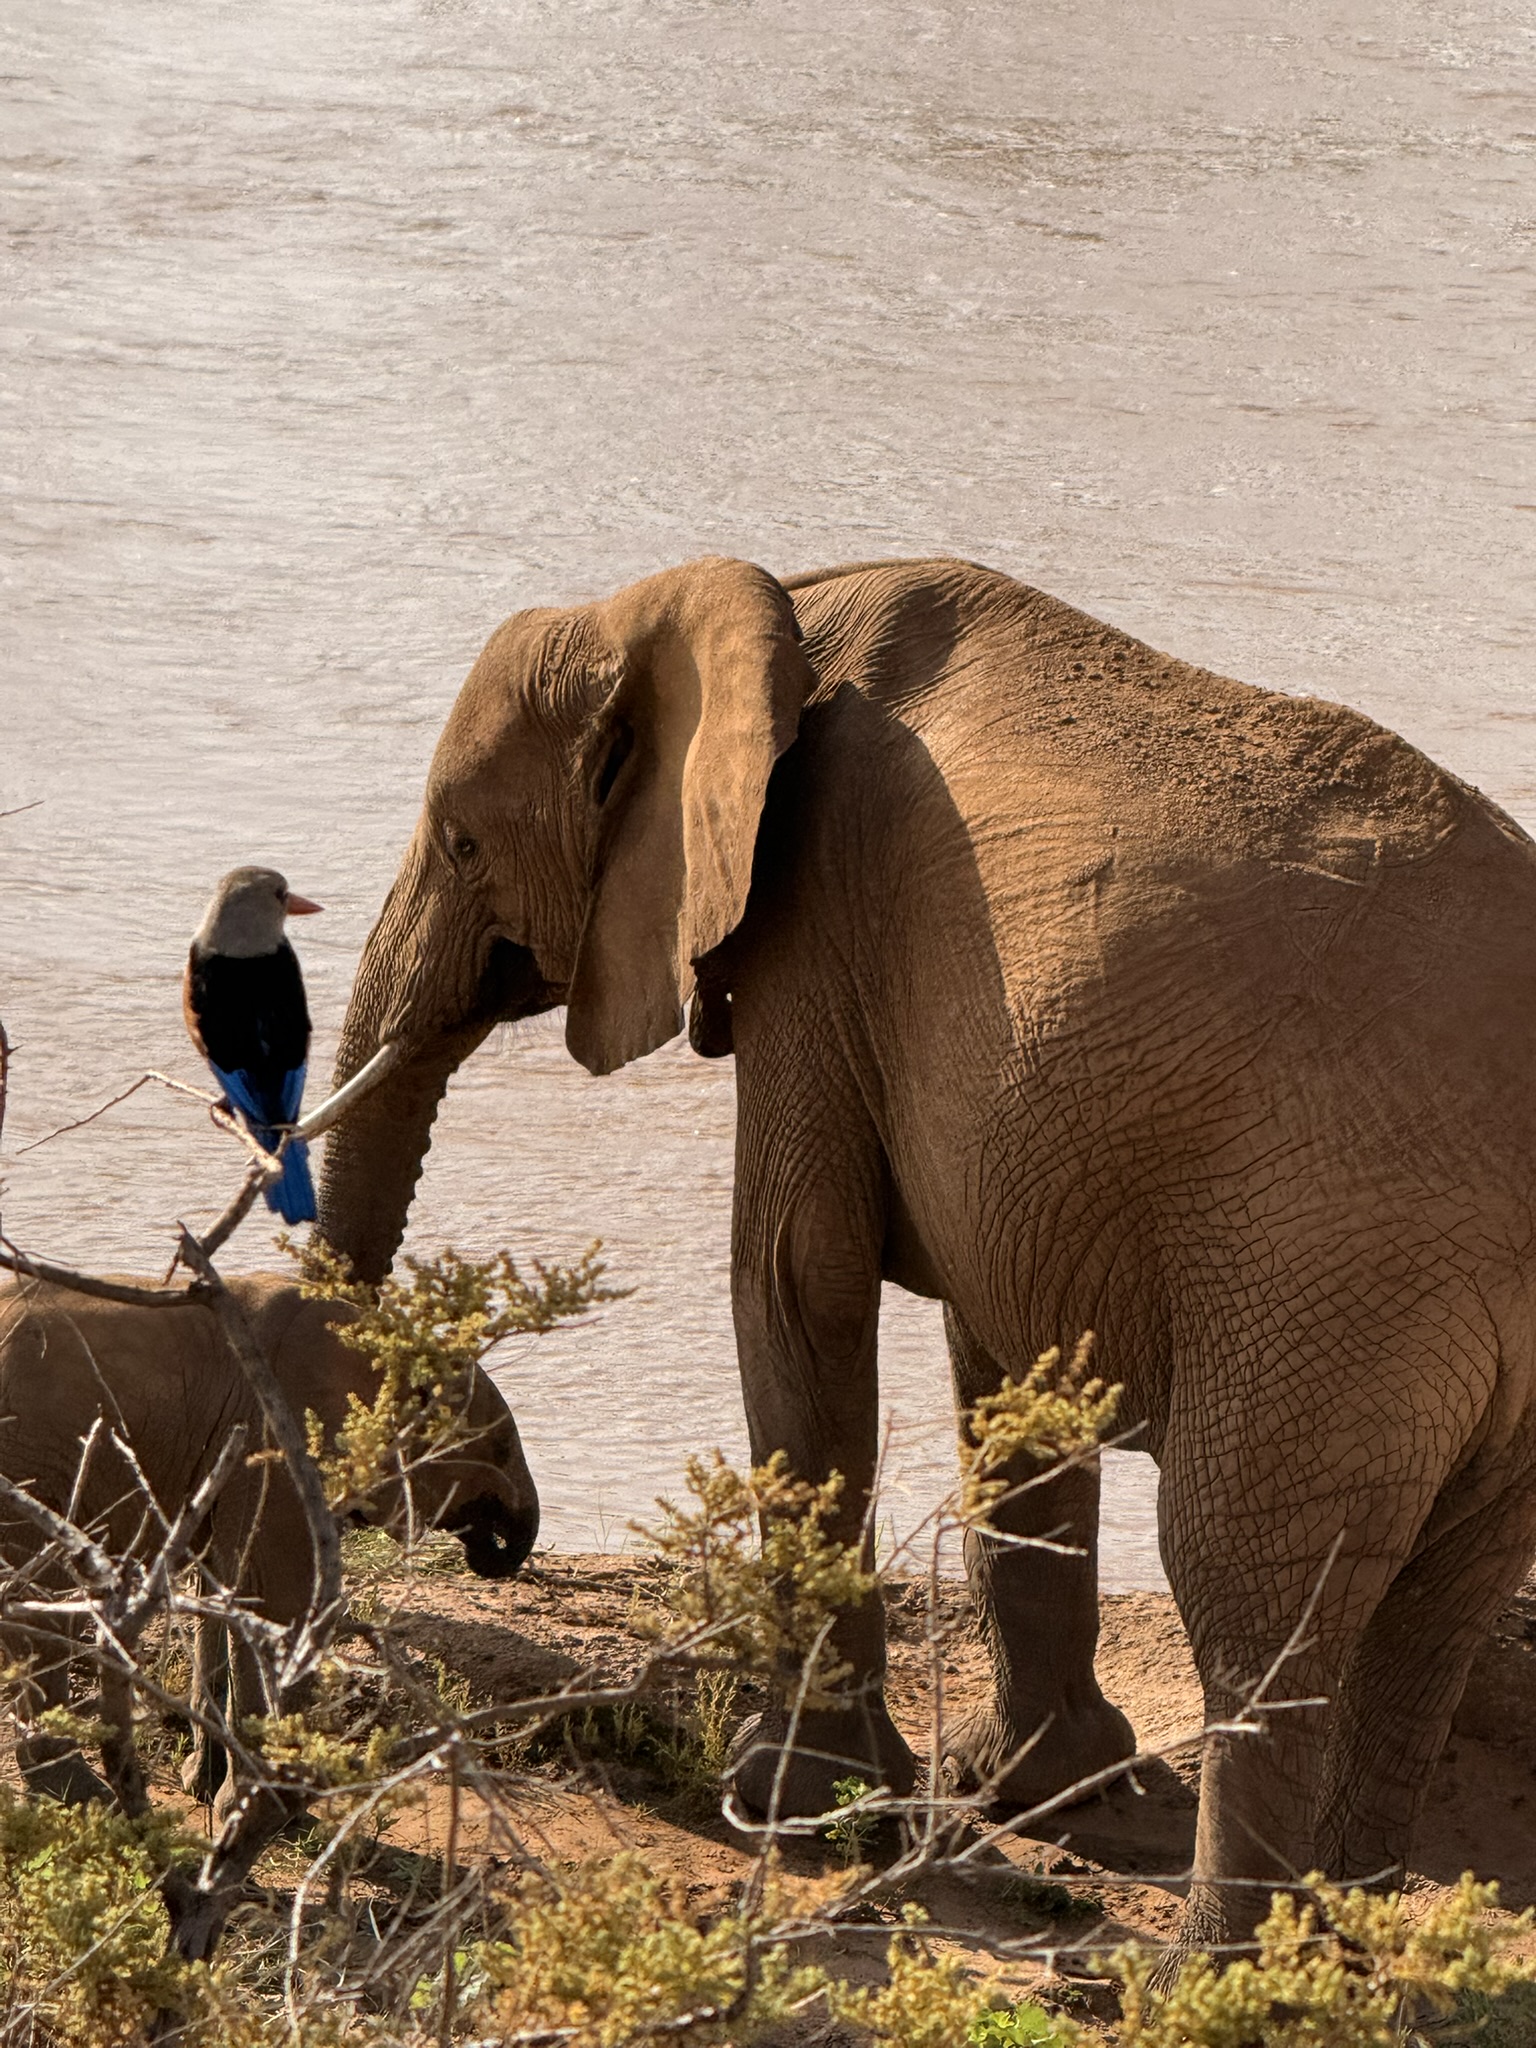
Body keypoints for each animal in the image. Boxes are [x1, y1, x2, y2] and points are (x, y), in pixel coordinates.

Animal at [0, 1272, 539, 1811]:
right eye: (499, 1446)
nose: (496, 1548)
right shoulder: (276, 1437)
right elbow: (276, 1598)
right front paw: (272, 1806)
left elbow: (226, 1584)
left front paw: (210, 1787)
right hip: (30, 1470)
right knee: (40, 1605)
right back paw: (87, 1796)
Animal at [317, 554, 1536, 1949]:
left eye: (464, 844)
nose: (485, 1531)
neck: (754, 600)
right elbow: (1006, 1364)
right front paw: (1029, 1793)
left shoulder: (813, 921)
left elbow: (796, 1280)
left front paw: (796, 1804)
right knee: (1435, 1619)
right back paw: (1352, 1959)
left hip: (1333, 1278)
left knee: (1252, 1593)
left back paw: (1220, 1976)